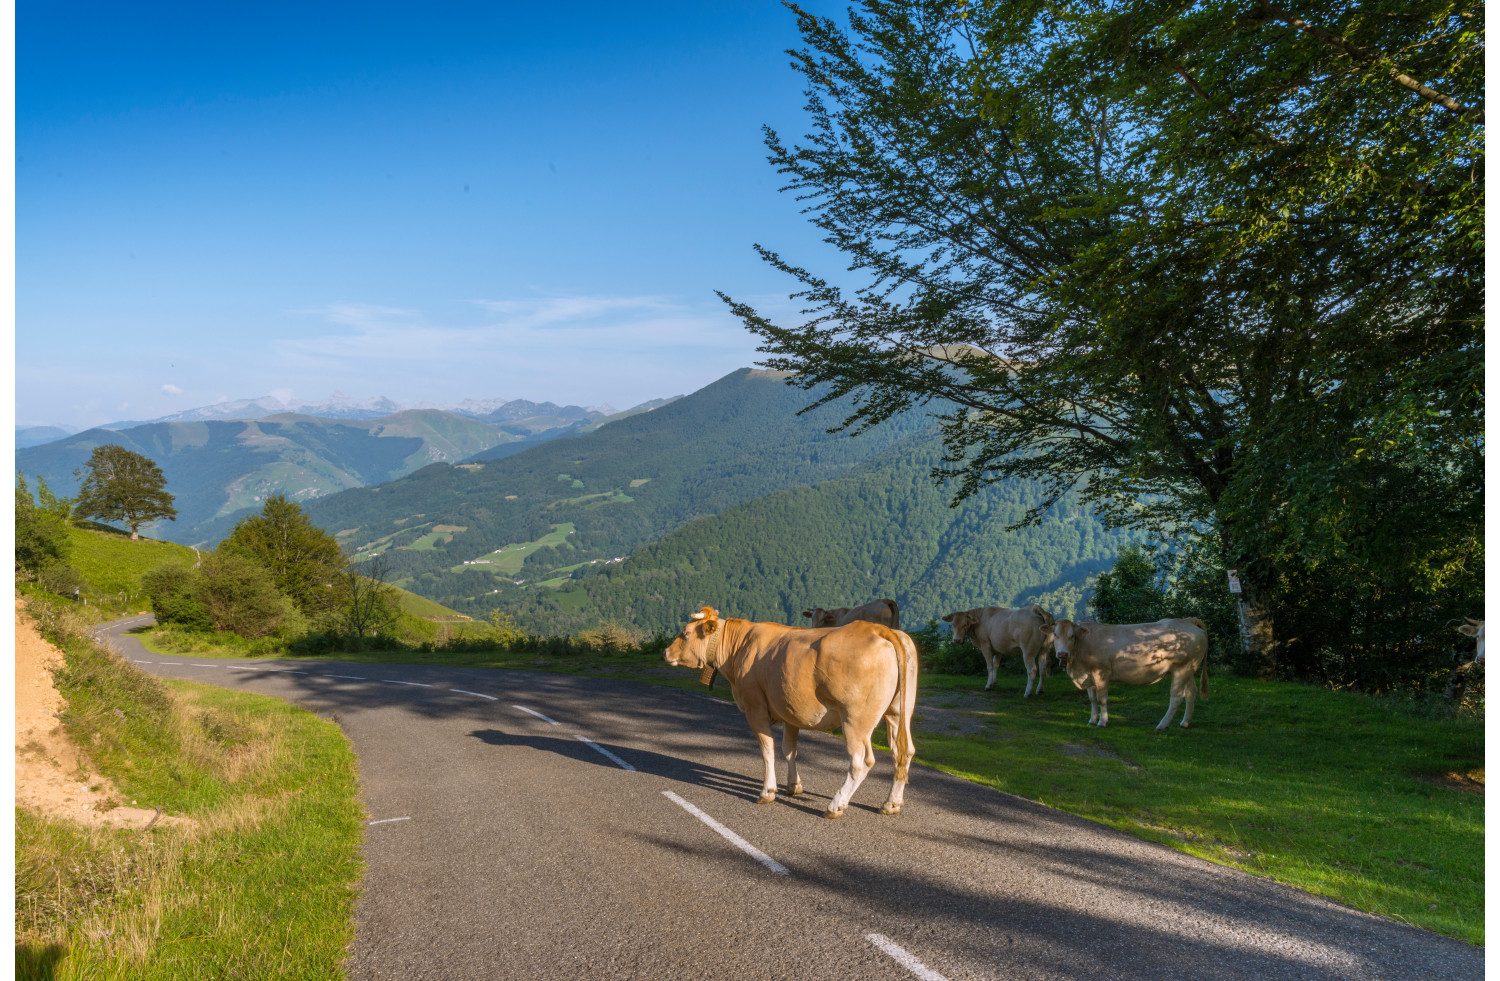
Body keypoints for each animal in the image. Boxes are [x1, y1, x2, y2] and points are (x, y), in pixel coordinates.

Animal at [666, 606, 918, 822]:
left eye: (685, 634)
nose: (666, 652)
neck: (738, 648)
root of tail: (877, 629)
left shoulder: (755, 707)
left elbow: (767, 749)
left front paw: (768, 791)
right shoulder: (789, 710)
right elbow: (789, 750)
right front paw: (793, 786)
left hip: (856, 720)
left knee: (861, 761)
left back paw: (836, 805)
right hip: (898, 713)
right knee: (903, 752)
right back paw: (891, 803)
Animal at [1050, 624, 1212, 729]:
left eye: (1072, 636)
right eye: (1055, 635)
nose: (1062, 654)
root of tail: (1188, 620)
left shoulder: (1101, 673)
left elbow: (1101, 699)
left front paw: (1102, 722)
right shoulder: (1088, 675)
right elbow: (1092, 699)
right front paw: (1092, 720)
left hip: (1180, 669)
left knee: (1177, 697)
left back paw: (1162, 725)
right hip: (1189, 669)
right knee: (1191, 692)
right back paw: (1185, 722)